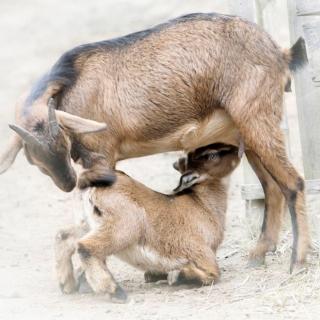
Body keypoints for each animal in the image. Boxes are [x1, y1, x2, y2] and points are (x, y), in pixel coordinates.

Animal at [0, 12, 310, 268]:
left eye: (63, 143)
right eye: (33, 160)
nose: (66, 182)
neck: (71, 80)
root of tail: (280, 52)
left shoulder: (101, 156)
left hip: (257, 117)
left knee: (293, 182)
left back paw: (297, 260)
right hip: (245, 130)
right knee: (272, 187)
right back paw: (259, 254)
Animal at [55, 144, 240, 302]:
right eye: (212, 155)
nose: (238, 149)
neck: (202, 204)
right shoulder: (202, 253)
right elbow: (214, 275)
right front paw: (178, 276)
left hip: (89, 223)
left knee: (64, 236)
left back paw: (67, 285)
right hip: (123, 227)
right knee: (85, 247)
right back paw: (115, 292)